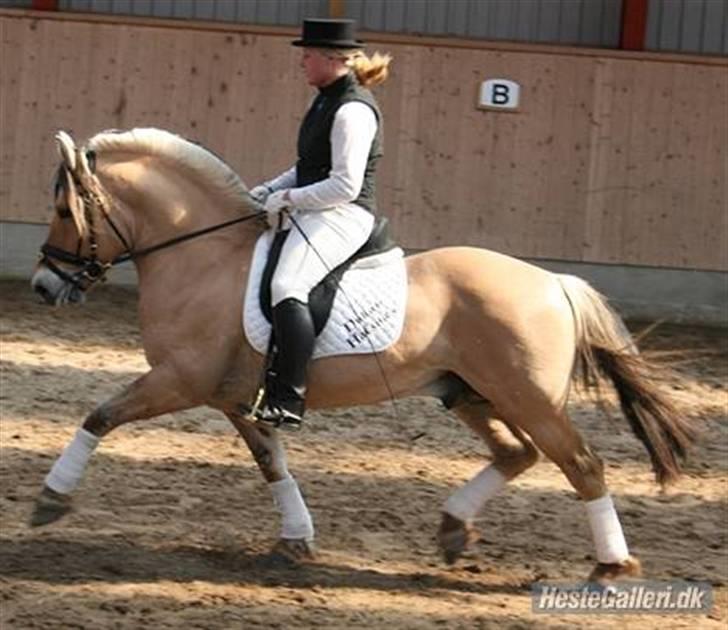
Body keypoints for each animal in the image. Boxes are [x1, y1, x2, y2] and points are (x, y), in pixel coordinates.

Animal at [28, 127, 696, 584]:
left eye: (64, 210)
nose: (43, 286)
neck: (203, 257)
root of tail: (555, 282)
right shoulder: (236, 399)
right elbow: (272, 463)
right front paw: (295, 540)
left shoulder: (179, 381)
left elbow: (99, 416)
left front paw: (50, 499)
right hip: (467, 391)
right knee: (517, 453)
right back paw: (454, 530)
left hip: (526, 396)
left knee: (581, 465)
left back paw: (610, 567)